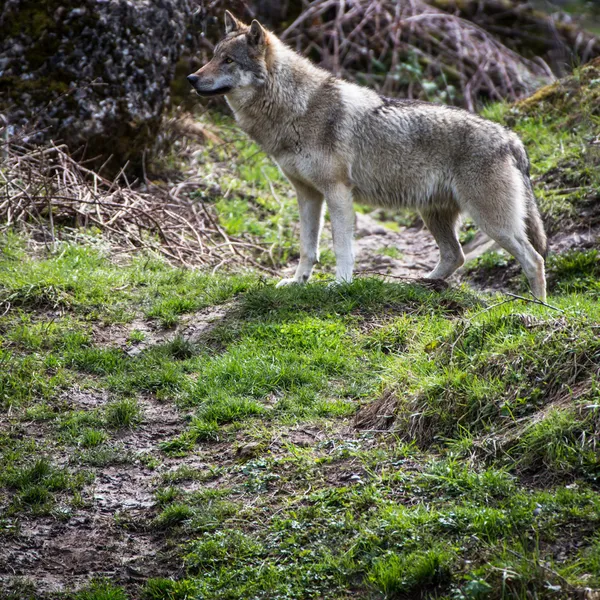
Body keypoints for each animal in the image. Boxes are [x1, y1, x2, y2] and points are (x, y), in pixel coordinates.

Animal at [188, 14, 548, 302]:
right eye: (213, 57)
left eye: (228, 61)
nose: (191, 79)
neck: (295, 109)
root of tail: (512, 139)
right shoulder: (307, 195)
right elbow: (307, 247)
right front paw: (297, 282)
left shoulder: (337, 192)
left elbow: (341, 247)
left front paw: (341, 285)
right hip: (434, 213)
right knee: (455, 256)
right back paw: (419, 284)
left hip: (492, 223)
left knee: (534, 260)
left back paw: (539, 309)